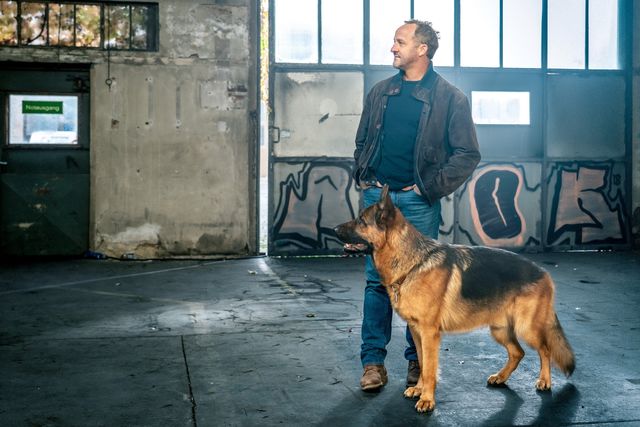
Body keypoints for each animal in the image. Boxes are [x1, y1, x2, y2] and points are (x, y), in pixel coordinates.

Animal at [334, 185, 575, 413]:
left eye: (361, 220)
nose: (334, 229)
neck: (413, 263)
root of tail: (543, 272)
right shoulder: (417, 332)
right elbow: (422, 364)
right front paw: (419, 389)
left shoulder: (430, 333)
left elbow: (430, 368)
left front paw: (427, 400)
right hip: (500, 330)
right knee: (518, 352)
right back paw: (500, 377)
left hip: (527, 328)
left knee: (545, 349)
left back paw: (544, 380)